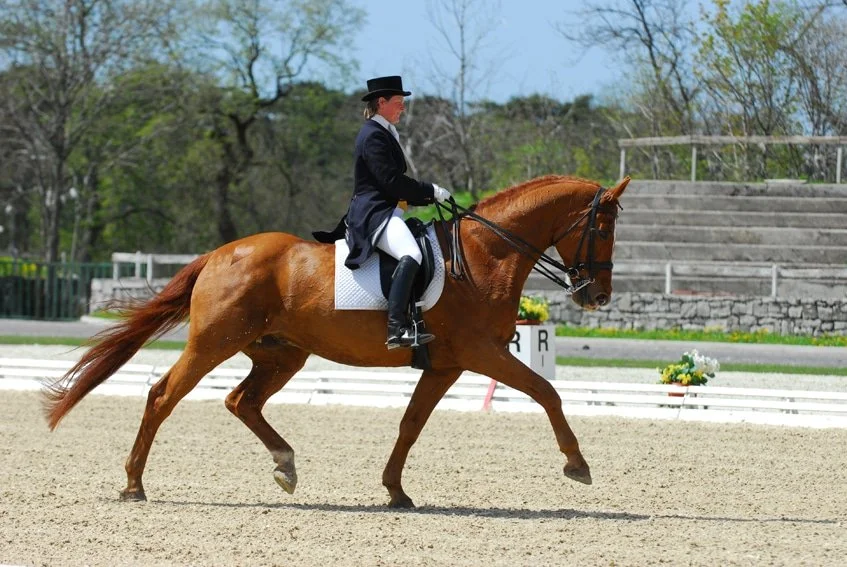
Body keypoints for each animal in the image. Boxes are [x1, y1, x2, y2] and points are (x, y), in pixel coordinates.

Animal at [43, 174, 630, 508]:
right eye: (602, 228)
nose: (597, 296)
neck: (487, 253)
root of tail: (219, 253)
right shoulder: (481, 353)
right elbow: (546, 392)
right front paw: (577, 466)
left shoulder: (444, 364)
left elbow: (410, 425)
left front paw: (395, 491)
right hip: (214, 344)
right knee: (164, 396)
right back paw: (134, 486)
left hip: (283, 354)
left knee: (241, 401)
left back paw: (285, 465)